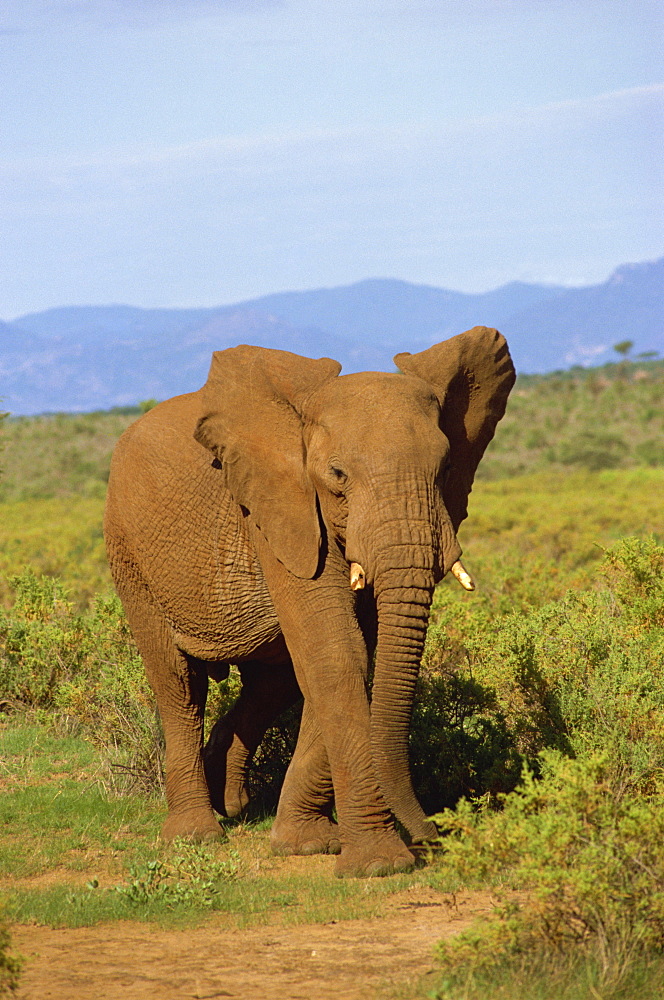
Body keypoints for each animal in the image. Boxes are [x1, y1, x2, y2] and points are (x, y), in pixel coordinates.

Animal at [104, 324, 516, 872]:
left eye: (448, 466)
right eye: (338, 475)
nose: (434, 835)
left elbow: (350, 652)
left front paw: (307, 844)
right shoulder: (277, 510)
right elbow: (337, 651)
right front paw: (380, 866)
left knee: (271, 681)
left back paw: (230, 800)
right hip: (130, 554)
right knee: (178, 683)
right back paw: (196, 835)